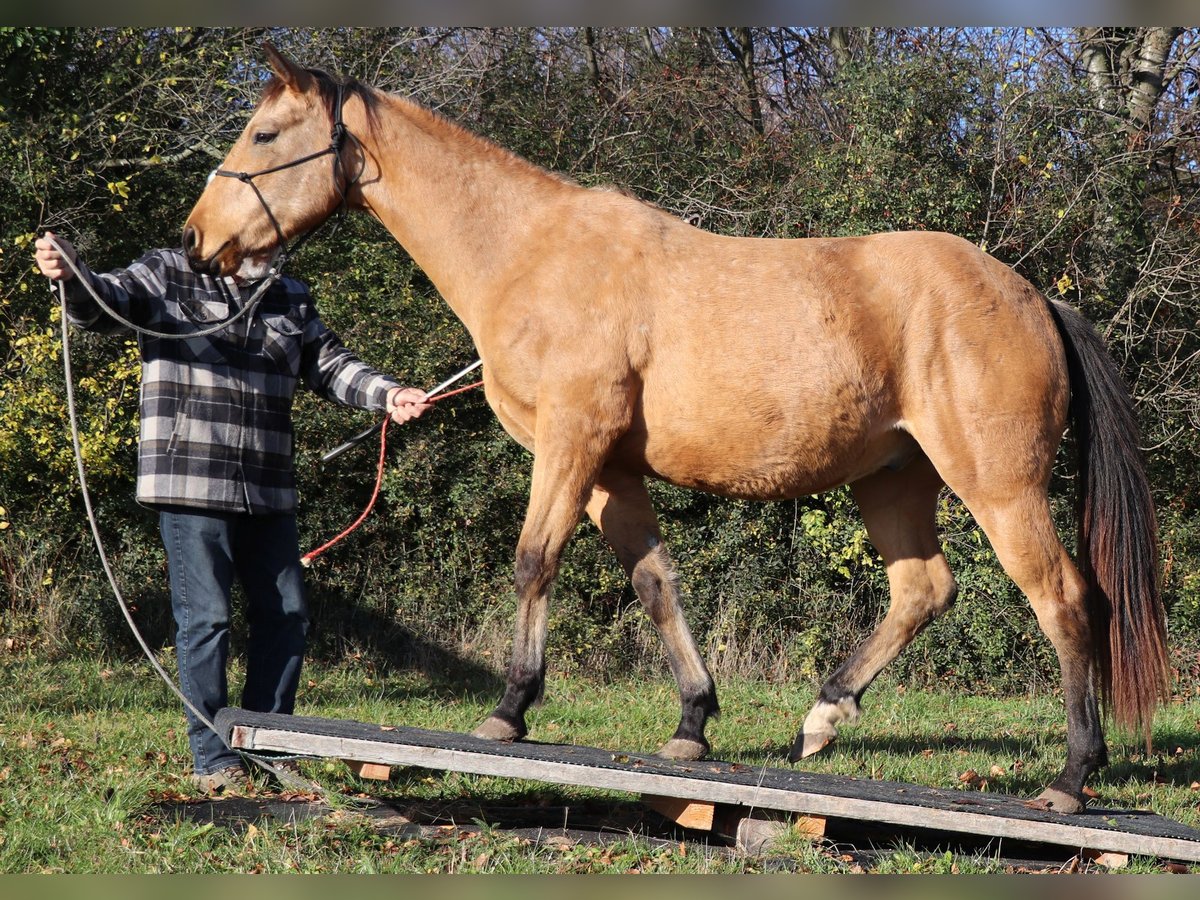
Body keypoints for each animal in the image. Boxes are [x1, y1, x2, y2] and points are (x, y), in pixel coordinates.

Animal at [182, 43, 1169, 814]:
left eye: (265, 136)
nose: (197, 240)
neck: (528, 250)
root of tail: (1034, 297)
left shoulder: (570, 444)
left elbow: (534, 561)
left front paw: (510, 710)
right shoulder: (611, 468)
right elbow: (655, 581)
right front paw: (693, 721)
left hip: (998, 485)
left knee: (1064, 598)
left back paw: (1071, 778)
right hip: (894, 477)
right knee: (924, 588)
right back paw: (823, 717)